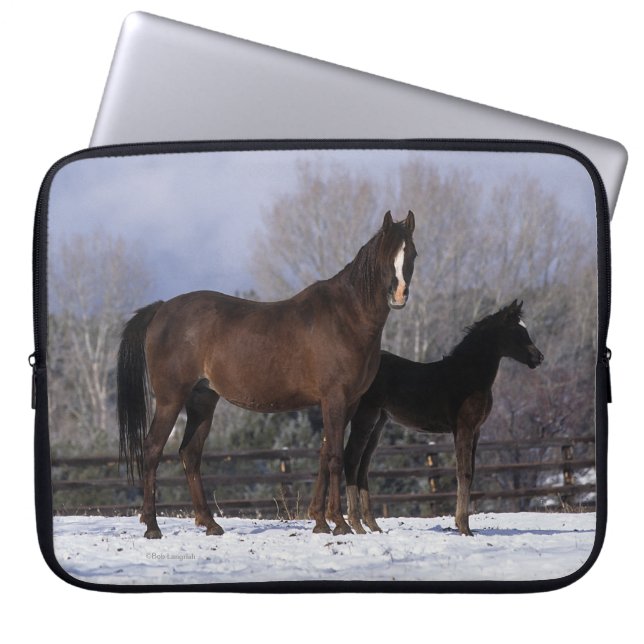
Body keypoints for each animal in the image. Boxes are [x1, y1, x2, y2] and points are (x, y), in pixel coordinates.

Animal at [117, 210, 417, 538]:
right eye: (386, 254)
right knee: (153, 450)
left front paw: (320, 521)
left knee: (190, 454)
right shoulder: (334, 398)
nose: (399, 296)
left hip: (202, 400)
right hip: (170, 399)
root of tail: (161, 309)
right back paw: (152, 526)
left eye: (412, 254)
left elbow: (324, 454)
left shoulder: (347, 402)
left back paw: (210, 523)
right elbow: (336, 456)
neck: (346, 317)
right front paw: (338, 523)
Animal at [344, 300, 543, 536]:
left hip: (379, 422)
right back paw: (356, 525)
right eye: (517, 331)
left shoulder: (476, 431)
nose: (539, 357)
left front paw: (462, 524)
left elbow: (471, 473)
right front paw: (464, 528)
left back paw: (373, 525)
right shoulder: (464, 428)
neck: (469, 376)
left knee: (363, 466)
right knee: (351, 459)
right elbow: (464, 473)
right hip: (365, 416)